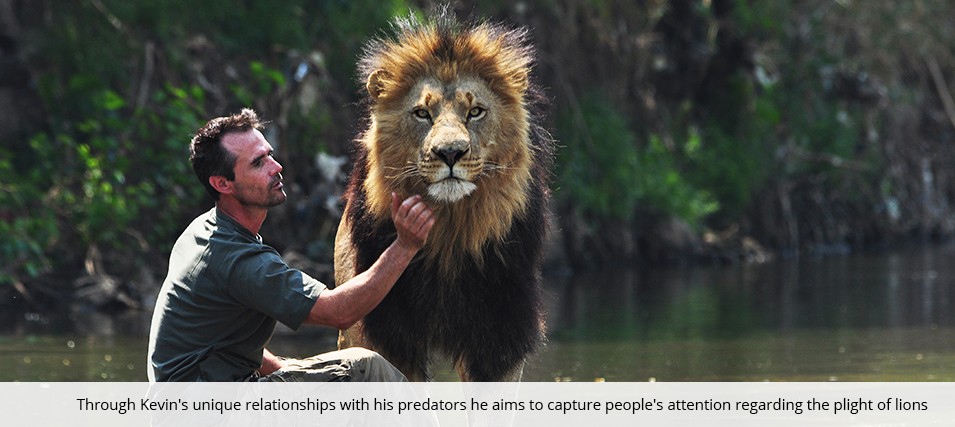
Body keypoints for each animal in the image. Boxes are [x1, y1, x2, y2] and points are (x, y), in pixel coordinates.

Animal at [334, 11, 552, 382]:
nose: (450, 152)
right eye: (422, 113)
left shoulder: (501, 333)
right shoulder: (388, 329)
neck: (451, 237)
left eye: (475, 112)